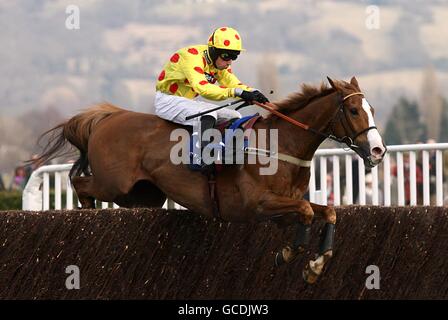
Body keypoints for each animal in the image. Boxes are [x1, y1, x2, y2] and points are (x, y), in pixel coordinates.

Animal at [35, 77, 384, 282]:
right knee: (81, 184)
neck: (281, 144)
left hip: (143, 194)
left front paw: (315, 265)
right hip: (115, 184)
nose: (378, 150)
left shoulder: (284, 208)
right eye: (354, 110)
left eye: (372, 108)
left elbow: (327, 211)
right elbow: (308, 212)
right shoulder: (259, 204)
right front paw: (289, 253)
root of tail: (110, 116)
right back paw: (87, 216)